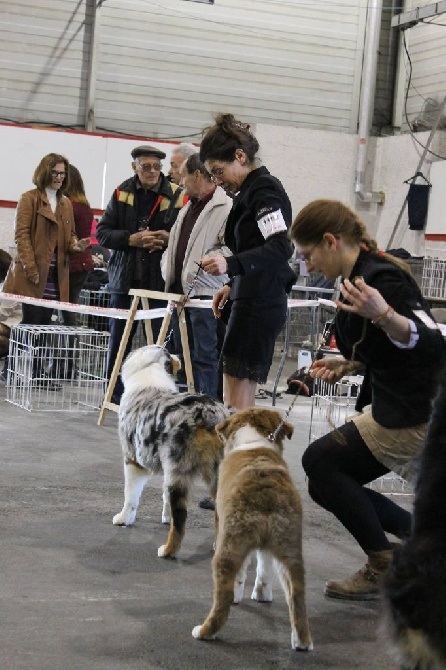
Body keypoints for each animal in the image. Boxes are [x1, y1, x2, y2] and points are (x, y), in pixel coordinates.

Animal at [193, 406, 314, 652]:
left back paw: (204, 631)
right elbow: (264, 568)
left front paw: (240, 595)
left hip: (230, 543)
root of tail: (266, 493)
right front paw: (262, 594)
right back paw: (302, 641)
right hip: (289, 546)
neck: (253, 441)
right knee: (296, 594)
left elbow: (241, 575)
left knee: (223, 593)